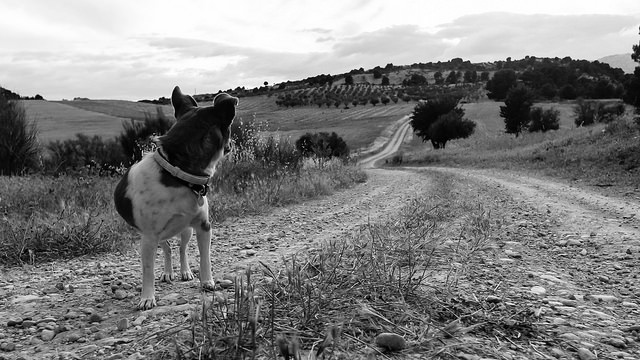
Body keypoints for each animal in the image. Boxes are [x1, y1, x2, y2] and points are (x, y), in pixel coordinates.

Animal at [113, 86, 238, 310]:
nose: (233, 145)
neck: (178, 172)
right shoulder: (148, 238)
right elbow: (148, 270)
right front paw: (147, 297)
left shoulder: (204, 226)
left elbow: (205, 258)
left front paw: (207, 282)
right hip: (158, 237)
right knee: (168, 249)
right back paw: (168, 272)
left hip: (185, 230)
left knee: (181, 248)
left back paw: (184, 271)